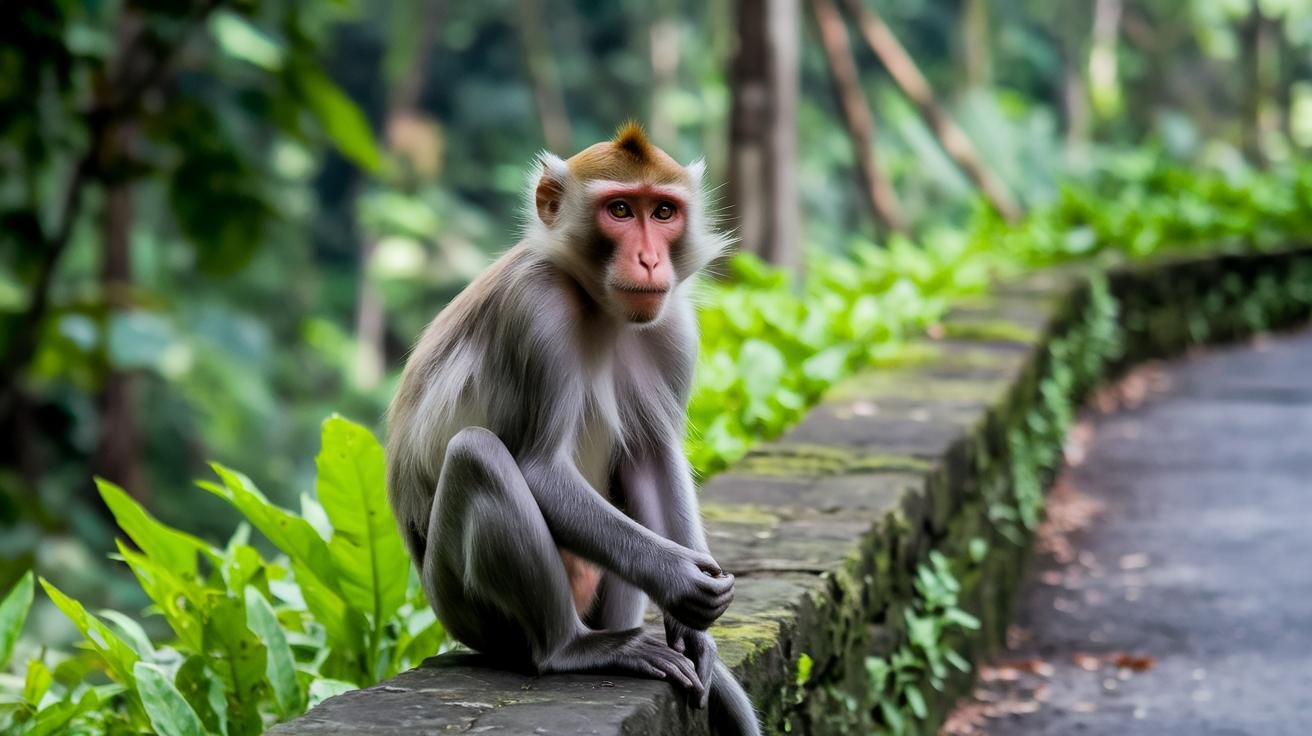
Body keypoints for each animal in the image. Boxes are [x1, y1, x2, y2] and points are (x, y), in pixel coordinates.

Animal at [385, 123, 760, 735]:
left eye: (663, 211)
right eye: (620, 210)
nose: (649, 260)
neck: (598, 305)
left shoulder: (674, 325)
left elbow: (652, 457)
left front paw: (694, 629)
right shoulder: (537, 312)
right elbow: (537, 467)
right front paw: (679, 578)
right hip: (464, 611)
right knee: (477, 455)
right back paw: (571, 648)